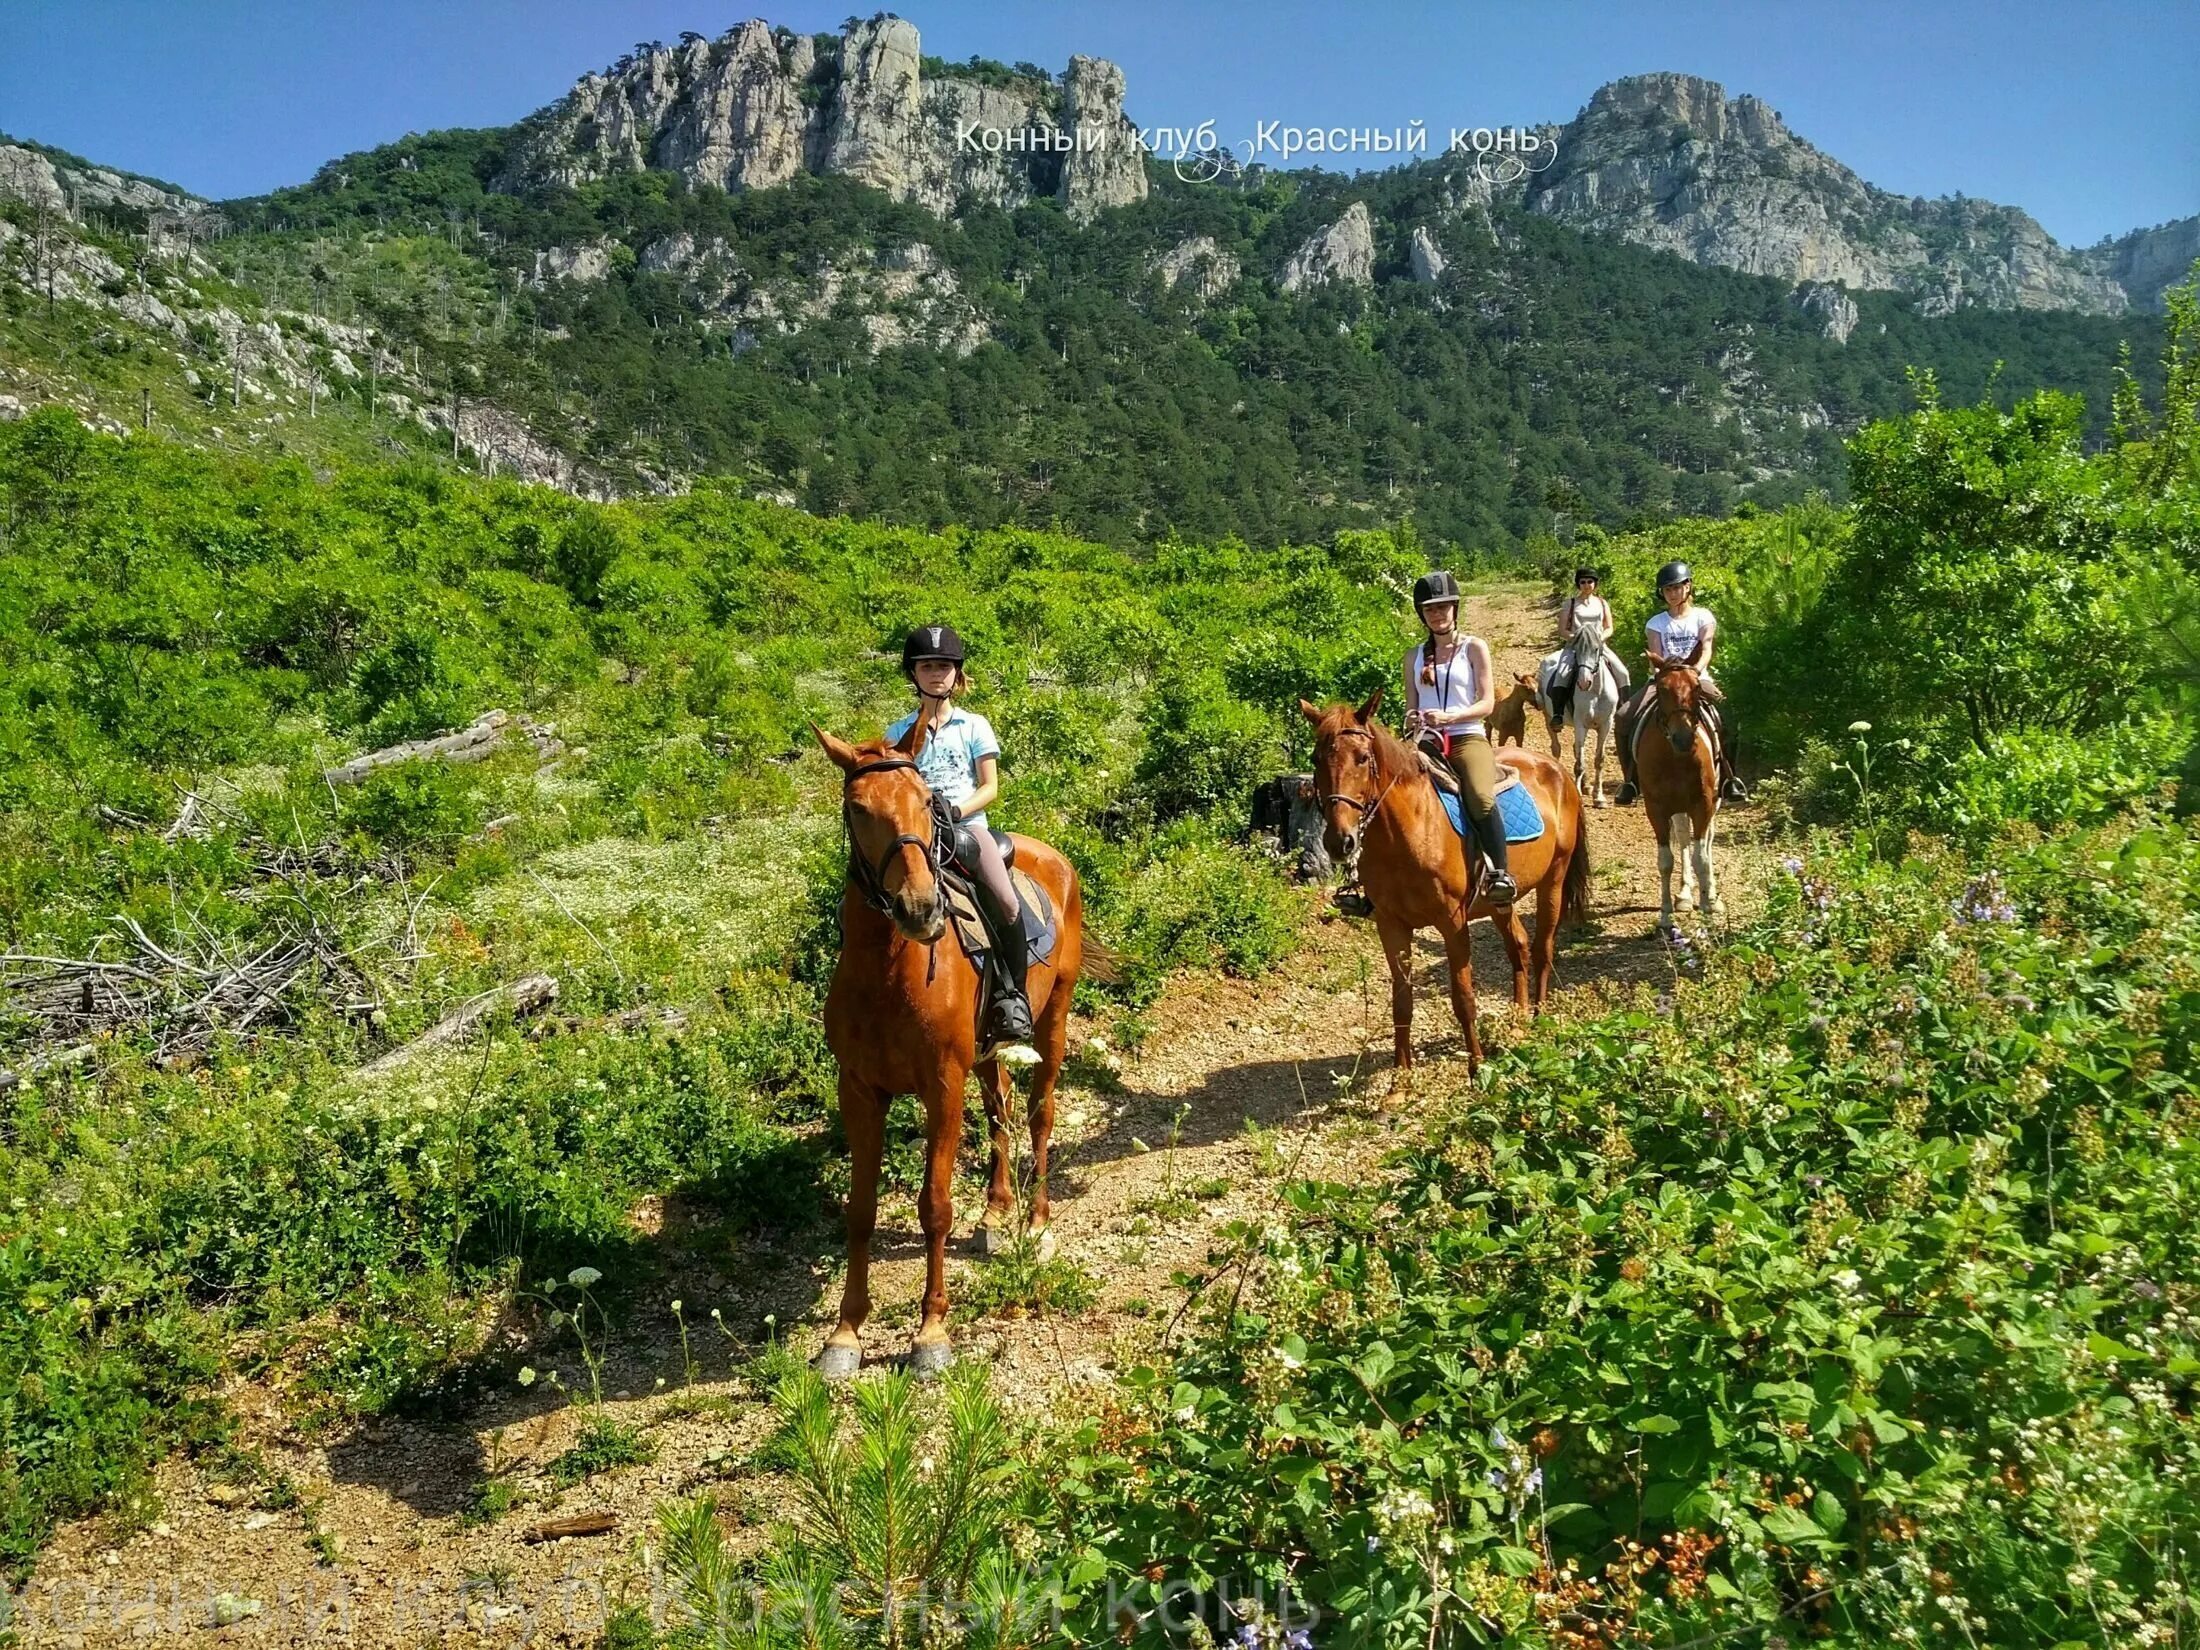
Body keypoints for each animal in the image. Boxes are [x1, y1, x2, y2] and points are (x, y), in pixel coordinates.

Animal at [814, 721, 1086, 1381]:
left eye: (924, 802)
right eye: (858, 810)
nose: (920, 910)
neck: (890, 973)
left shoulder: (942, 1086)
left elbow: (934, 1207)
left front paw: (931, 1333)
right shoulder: (859, 1091)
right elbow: (860, 1211)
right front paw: (845, 1334)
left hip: (1053, 1022)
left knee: (1038, 1115)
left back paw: (1036, 1224)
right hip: (988, 1056)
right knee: (1001, 1113)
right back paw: (994, 1213)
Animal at [1293, 690, 1592, 1078]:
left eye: (1362, 758)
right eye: (1316, 759)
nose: (1339, 841)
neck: (1409, 833)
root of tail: (1556, 770)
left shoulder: (1452, 923)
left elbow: (1463, 996)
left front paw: (1476, 1068)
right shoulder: (1391, 925)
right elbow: (1402, 1003)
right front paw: (1400, 1082)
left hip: (1553, 881)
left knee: (1543, 949)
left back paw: (1539, 1021)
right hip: (1499, 901)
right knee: (1519, 945)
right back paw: (1517, 1023)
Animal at [1540, 620, 1628, 809]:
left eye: (1596, 649)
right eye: (1576, 650)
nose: (1583, 682)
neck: (1596, 691)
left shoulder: (1606, 725)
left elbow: (1599, 759)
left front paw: (1598, 797)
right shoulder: (1581, 724)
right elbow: (1580, 763)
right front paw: (1578, 795)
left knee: (1575, 749)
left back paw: (1586, 786)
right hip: (1548, 717)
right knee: (1556, 747)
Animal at [1636, 664, 1716, 937]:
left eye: (1697, 687)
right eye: (1662, 689)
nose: (1683, 738)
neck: (1675, 758)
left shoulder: (1703, 805)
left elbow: (1701, 858)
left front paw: (1706, 918)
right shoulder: (1656, 810)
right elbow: (1665, 862)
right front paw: (1665, 916)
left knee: (1707, 841)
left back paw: (1712, 897)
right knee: (1682, 837)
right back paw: (1684, 894)